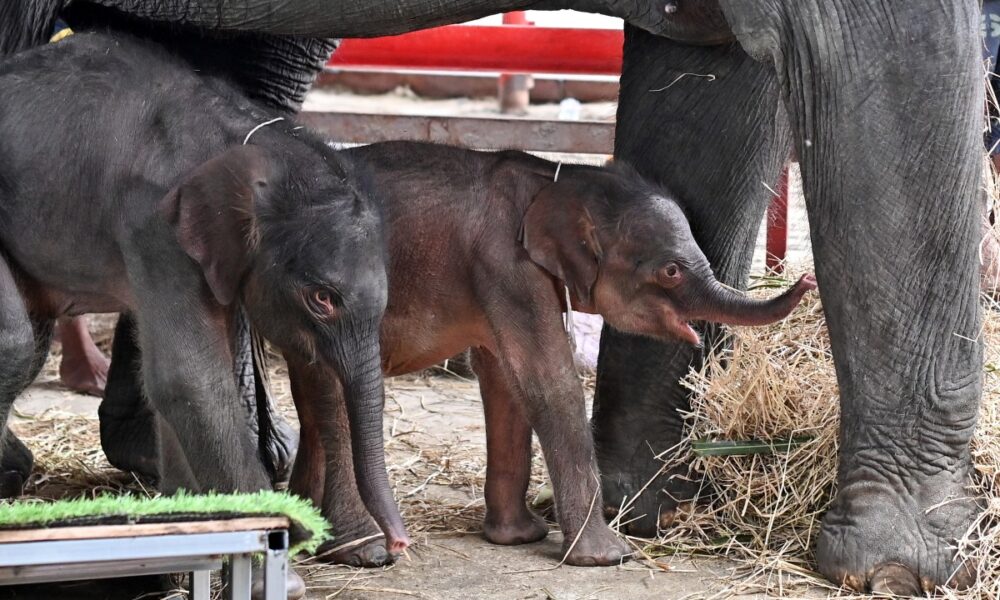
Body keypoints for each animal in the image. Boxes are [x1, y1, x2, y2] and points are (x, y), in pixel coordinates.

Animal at [288, 141, 812, 568]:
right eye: (671, 271)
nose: (806, 280)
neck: (558, 178)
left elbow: (503, 378)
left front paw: (518, 538)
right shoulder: (506, 264)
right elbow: (547, 378)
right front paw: (609, 558)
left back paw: (299, 534)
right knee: (331, 395)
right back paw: (361, 552)